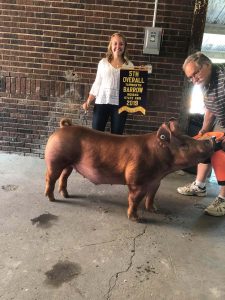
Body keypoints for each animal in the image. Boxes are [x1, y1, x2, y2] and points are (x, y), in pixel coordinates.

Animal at [44, 118, 214, 221]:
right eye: (184, 145)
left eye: (189, 137)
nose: (211, 140)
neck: (162, 169)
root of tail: (62, 127)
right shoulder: (136, 180)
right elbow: (135, 199)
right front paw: (137, 219)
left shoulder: (156, 181)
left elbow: (151, 197)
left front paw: (155, 210)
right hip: (56, 159)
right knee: (50, 177)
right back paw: (52, 199)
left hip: (69, 164)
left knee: (64, 177)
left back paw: (66, 195)